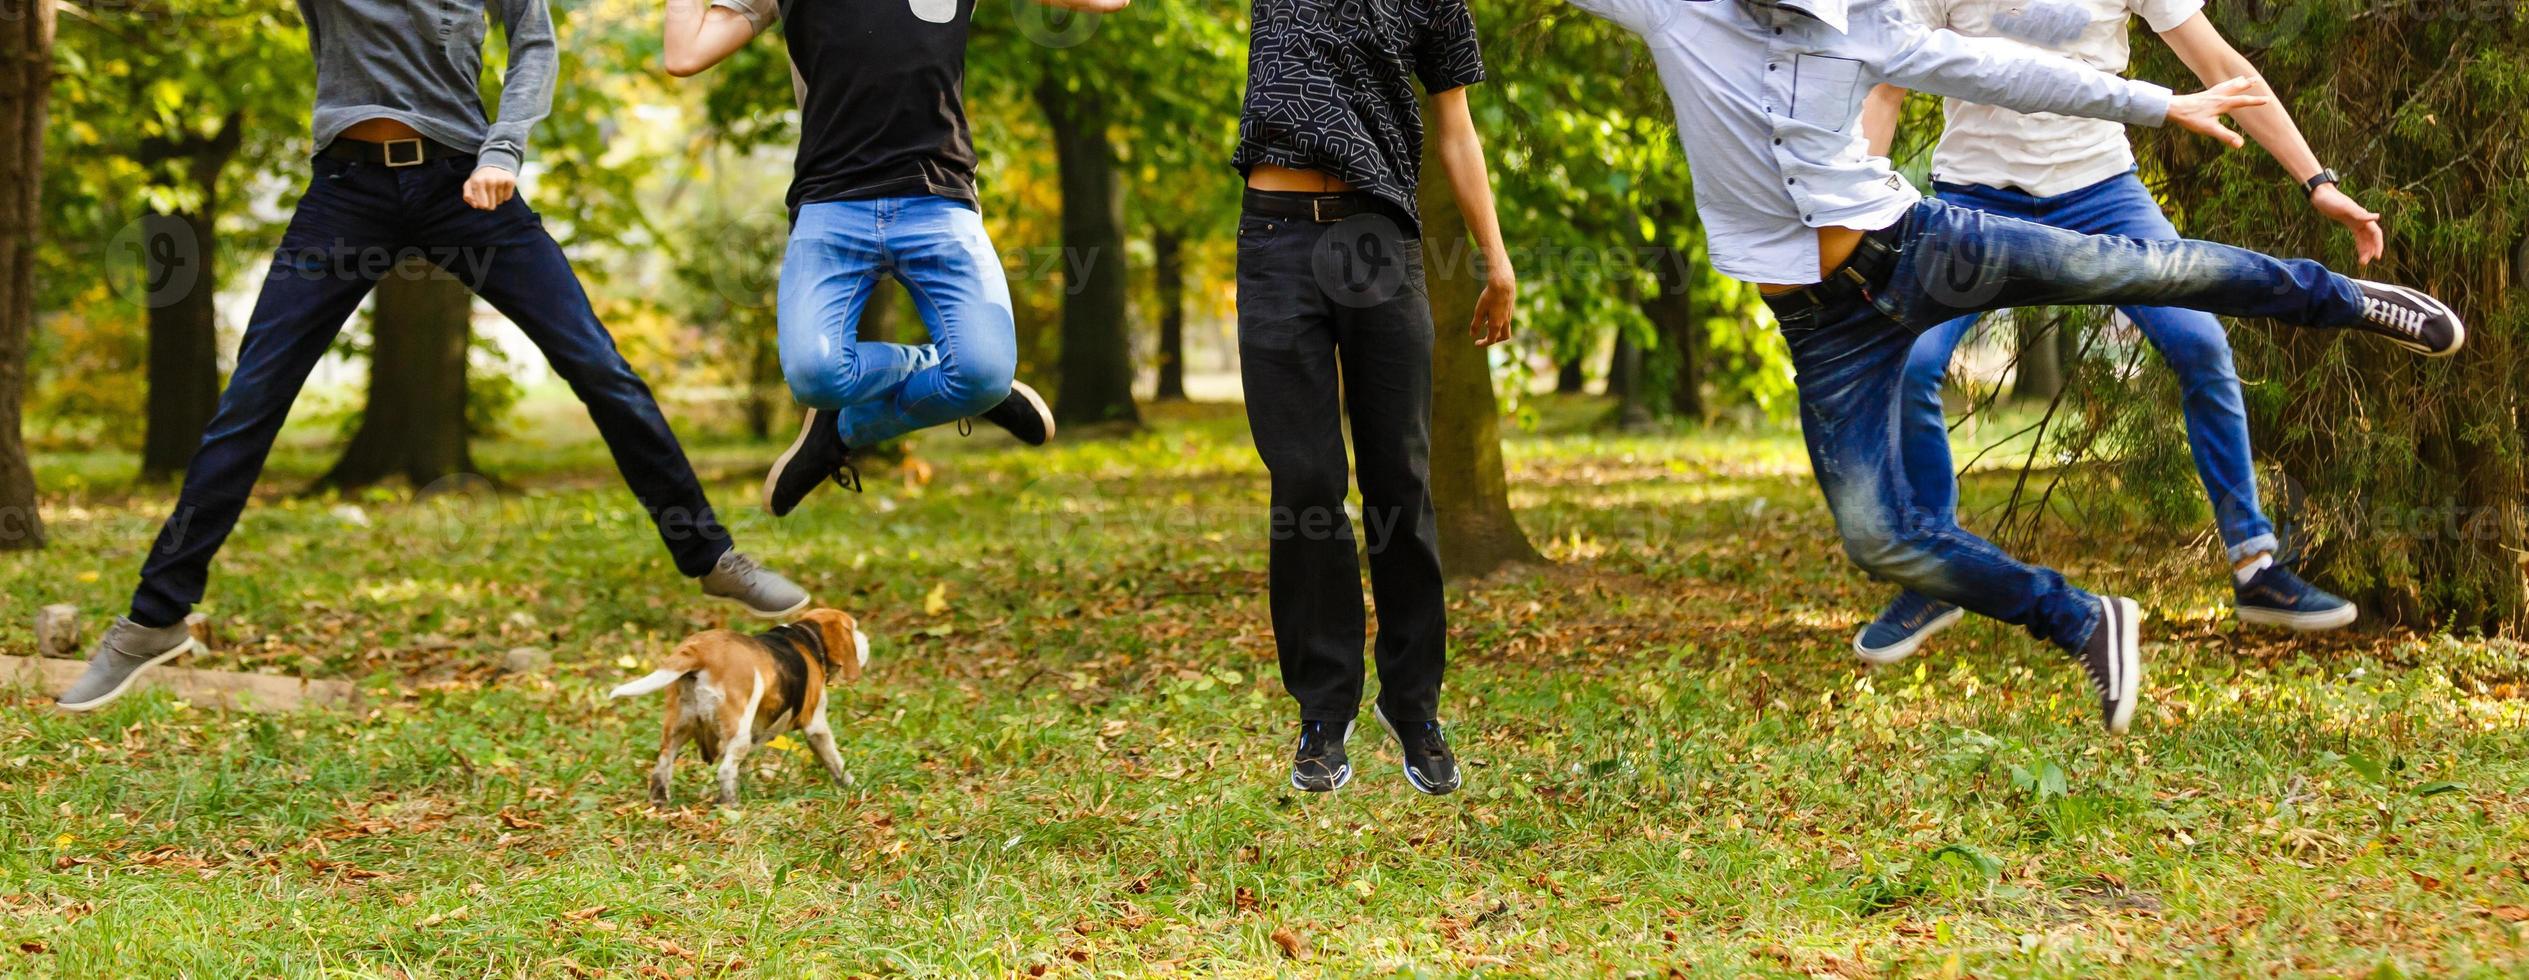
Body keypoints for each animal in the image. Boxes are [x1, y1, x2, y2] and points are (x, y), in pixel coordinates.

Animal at [606, 608, 875, 808]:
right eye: (853, 628)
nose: (866, 639)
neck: (807, 638)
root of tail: (700, 649)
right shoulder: (816, 727)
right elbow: (835, 762)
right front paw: (853, 787)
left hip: (678, 726)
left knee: (662, 766)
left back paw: (660, 801)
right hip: (738, 731)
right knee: (725, 771)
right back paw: (731, 804)